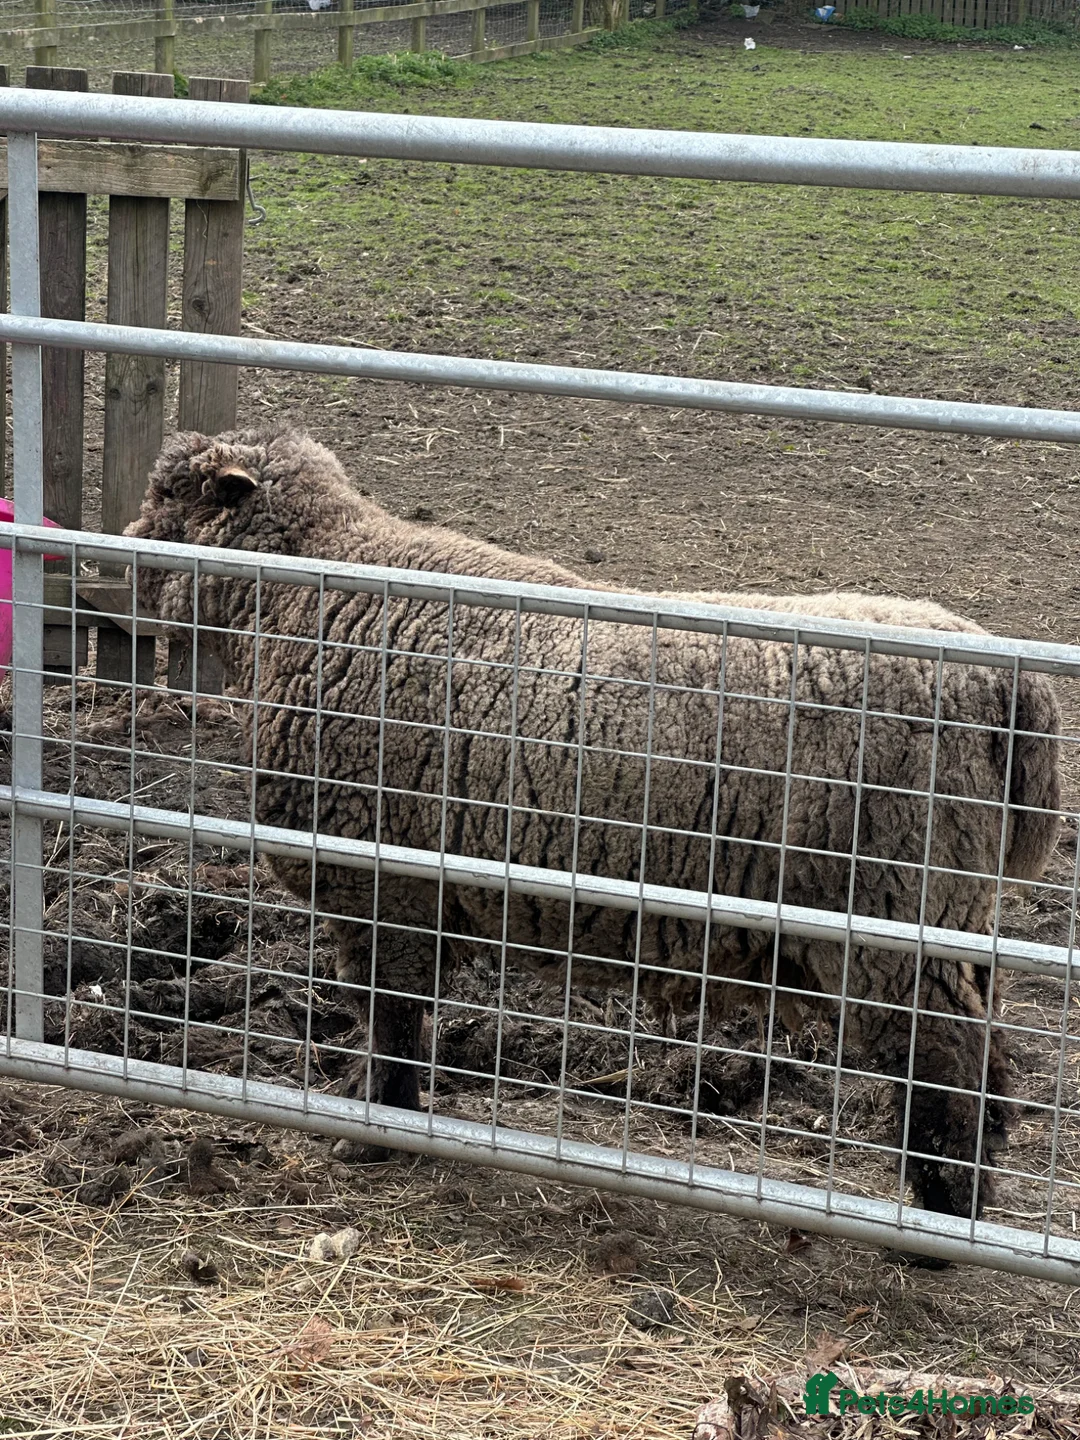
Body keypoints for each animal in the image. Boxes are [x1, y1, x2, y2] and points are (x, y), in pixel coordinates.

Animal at [126, 427, 1062, 1218]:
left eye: (172, 494)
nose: (126, 549)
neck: (314, 591)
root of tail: (1011, 688)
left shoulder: (381, 882)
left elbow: (390, 1015)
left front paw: (372, 1129)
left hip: (895, 912)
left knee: (947, 1063)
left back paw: (940, 1216)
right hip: (953, 915)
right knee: (990, 1062)